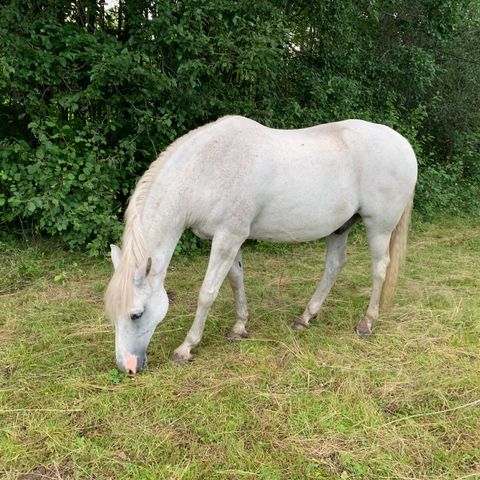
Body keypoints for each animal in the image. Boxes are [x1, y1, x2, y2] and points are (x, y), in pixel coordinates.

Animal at [104, 114, 416, 374]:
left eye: (136, 314)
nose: (127, 367)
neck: (207, 169)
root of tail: (403, 145)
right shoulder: (230, 239)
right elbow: (236, 280)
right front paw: (239, 327)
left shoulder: (227, 238)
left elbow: (208, 293)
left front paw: (186, 348)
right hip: (340, 228)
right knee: (334, 266)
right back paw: (306, 317)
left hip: (378, 227)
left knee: (379, 268)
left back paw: (367, 323)